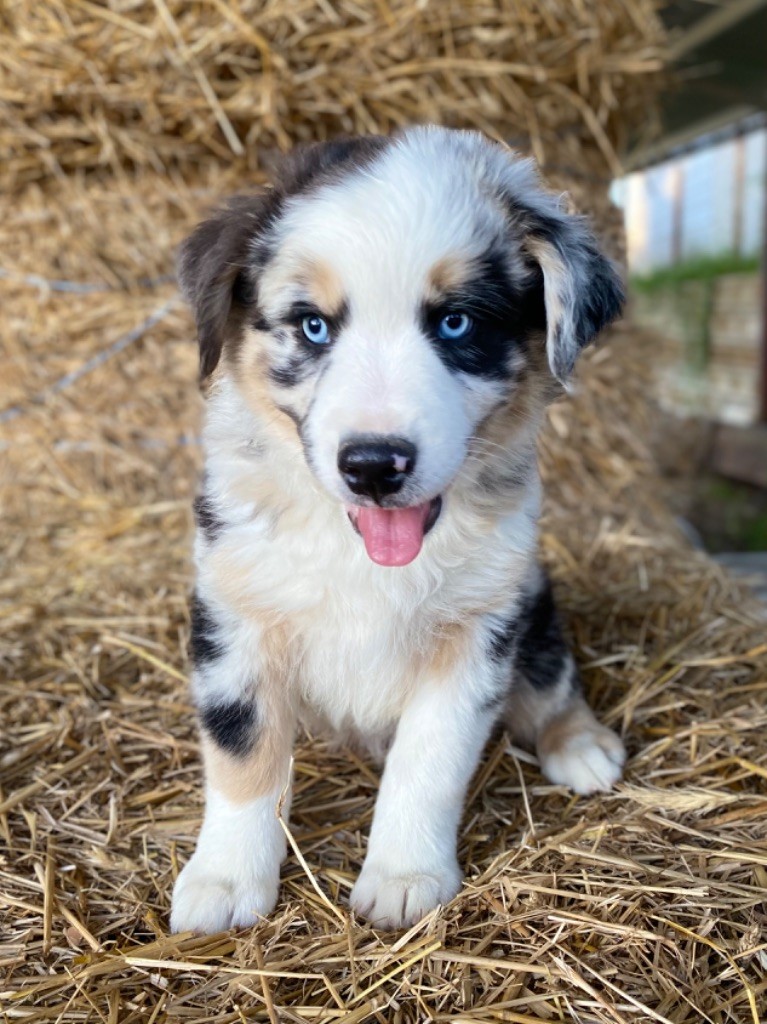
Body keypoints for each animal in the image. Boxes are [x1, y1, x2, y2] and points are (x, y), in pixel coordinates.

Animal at [169, 127, 626, 934]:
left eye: (456, 322)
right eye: (312, 325)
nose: (374, 465)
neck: (364, 557)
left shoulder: (479, 628)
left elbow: (429, 760)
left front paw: (405, 876)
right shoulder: (234, 617)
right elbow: (243, 755)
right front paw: (225, 880)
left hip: (533, 603)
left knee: (552, 680)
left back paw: (581, 745)